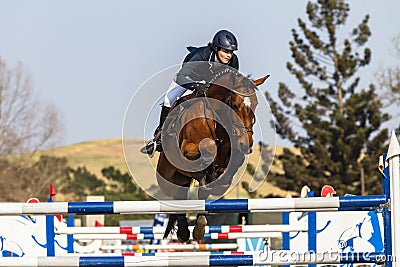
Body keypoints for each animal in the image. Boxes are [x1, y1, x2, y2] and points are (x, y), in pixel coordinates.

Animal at [155, 68, 268, 243]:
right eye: (235, 105)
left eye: (255, 104)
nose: (246, 144)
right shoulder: (187, 149)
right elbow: (208, 149)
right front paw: (208, 171)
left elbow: (231, 164)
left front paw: (215, 176)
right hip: (167, 178)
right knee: (178, 196)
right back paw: (184, 231)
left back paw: (197, 226)